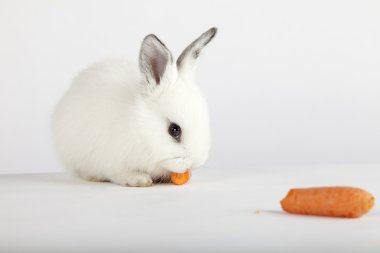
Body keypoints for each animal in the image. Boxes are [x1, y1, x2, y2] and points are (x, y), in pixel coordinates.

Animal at [51, 27, 217, 186]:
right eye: (174, 130)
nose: (195, 163)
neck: (141, 127)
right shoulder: (111, 160)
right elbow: (119, 173)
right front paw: (138, 179)